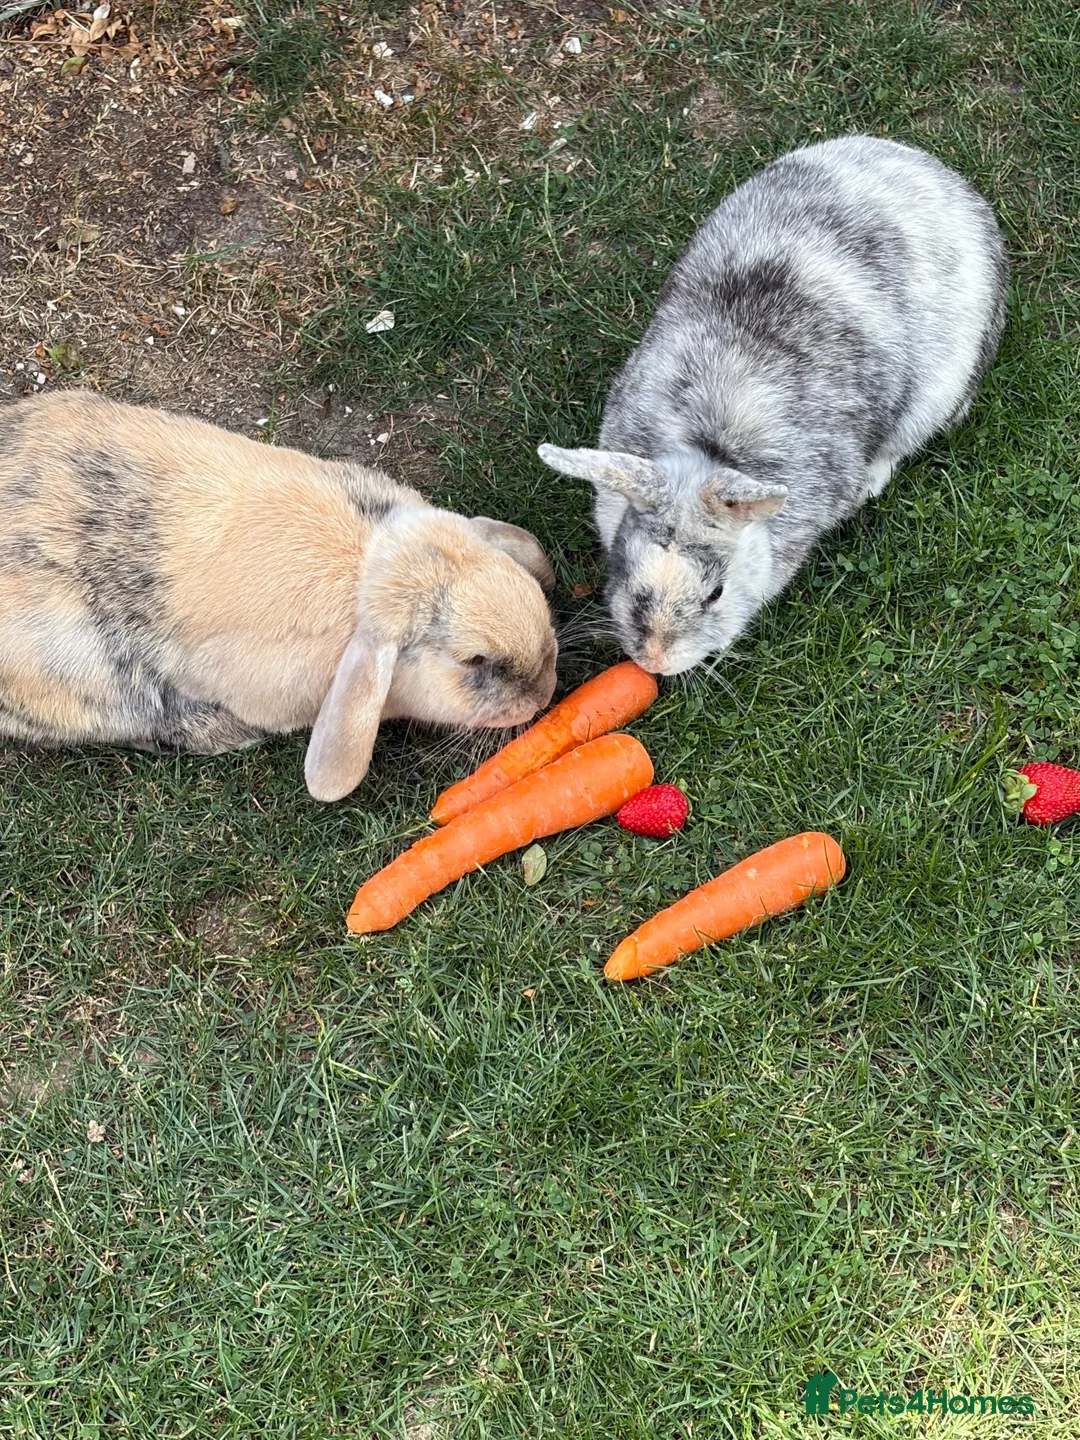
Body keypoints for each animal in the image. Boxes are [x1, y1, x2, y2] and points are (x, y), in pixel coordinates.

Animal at [538, 135, 1008, 674]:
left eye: (716, 594)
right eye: (622, 567)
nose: (654, 662)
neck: (709, 448)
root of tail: (934, 172)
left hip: (940, 390)